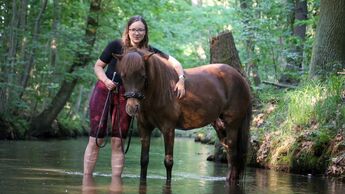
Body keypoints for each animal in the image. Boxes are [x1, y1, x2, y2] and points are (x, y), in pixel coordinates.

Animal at [114, 47, 251, 184]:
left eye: (142, 76)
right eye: (123, 76)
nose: (132, 107)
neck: (161, 91)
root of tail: (241, 79)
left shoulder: (168, 129)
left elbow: (168, 161)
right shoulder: (144, 128)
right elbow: (144, 160)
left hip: (232, 125)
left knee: (233, 153)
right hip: (220, 125)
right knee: (229, 151)